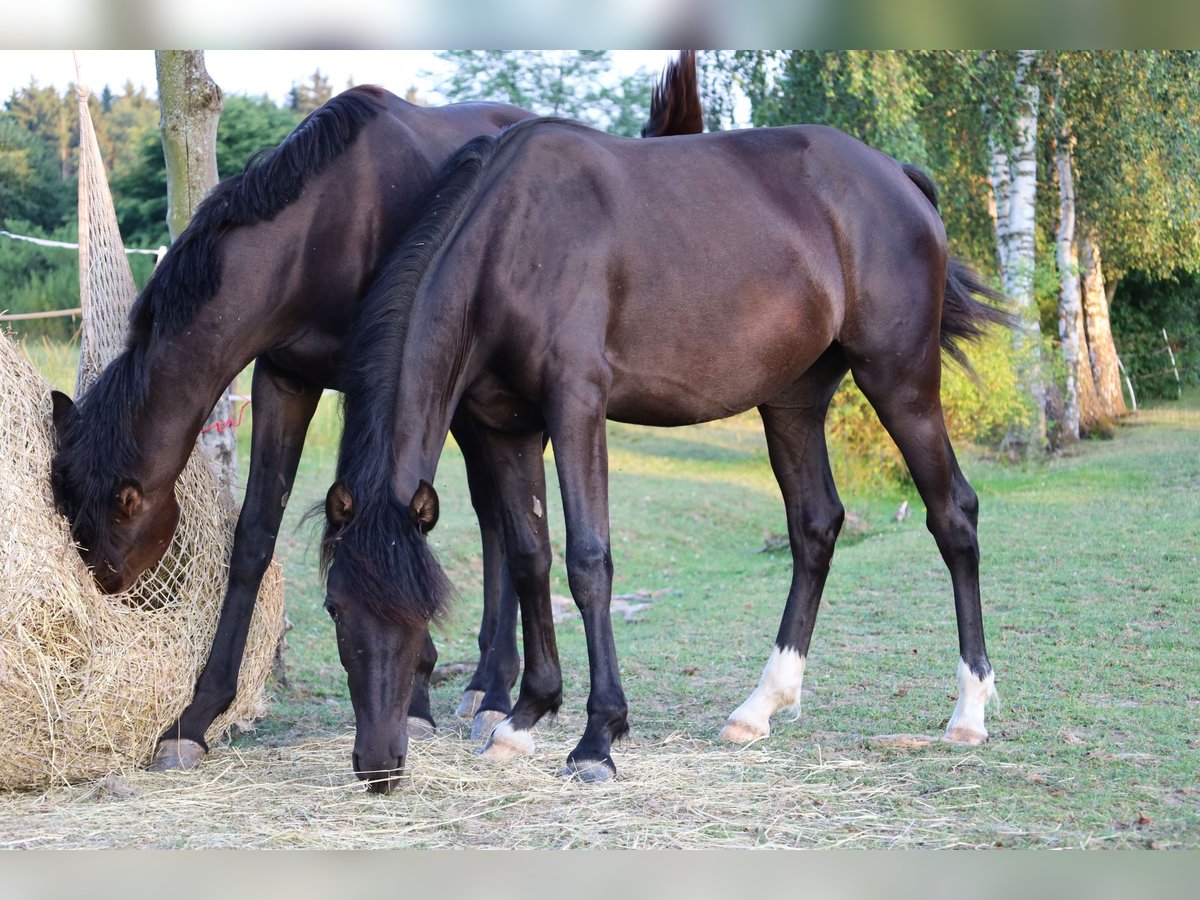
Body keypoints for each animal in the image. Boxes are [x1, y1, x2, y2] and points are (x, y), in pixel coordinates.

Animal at [49, 61, 700, 777]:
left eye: (112, 522)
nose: (112, 591)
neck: (319, 225)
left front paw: (414, 693)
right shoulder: (286, 378)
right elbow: (254, 537)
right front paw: (195, 718)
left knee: (495, 522)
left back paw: (495, 689)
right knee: (497, 519)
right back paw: (487, 685)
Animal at [321, 114, 1012, 796]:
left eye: (421, 612)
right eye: (334, 608)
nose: (378, 765)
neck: (508, 242)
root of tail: (899, 177)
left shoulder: (575, 406)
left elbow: (588, 563)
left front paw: (597, 739)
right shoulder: (504, 429)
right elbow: (528, 559)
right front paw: (524, 718)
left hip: (900, 381)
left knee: (953, 515)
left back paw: (969, 713)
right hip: (791, 401)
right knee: (815, 527)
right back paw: (758, 707)